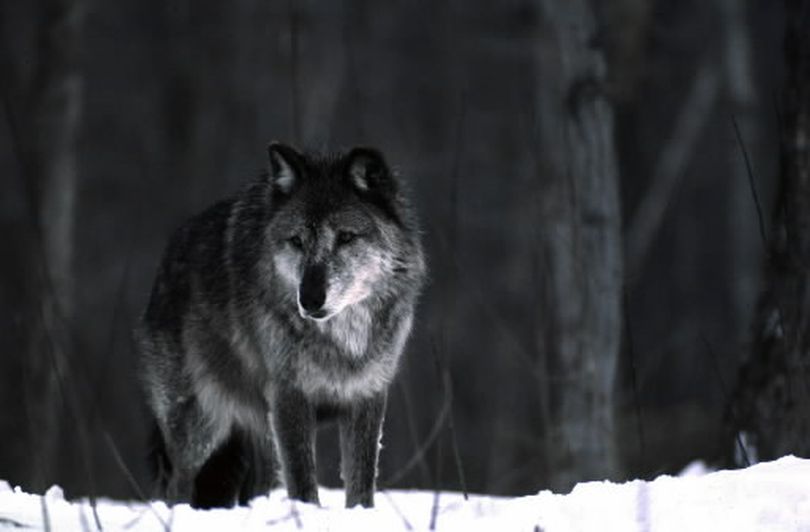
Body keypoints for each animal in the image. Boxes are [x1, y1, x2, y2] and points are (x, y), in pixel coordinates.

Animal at [136, 143, 426, 510]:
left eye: (346, 237)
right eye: (297, 241)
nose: (310, 299)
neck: (341, 341)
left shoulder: (367, 394)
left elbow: (361, 484)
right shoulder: (289, 395)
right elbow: (303, 483)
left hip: (260, 441)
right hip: (200, 427)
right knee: (178, 485)